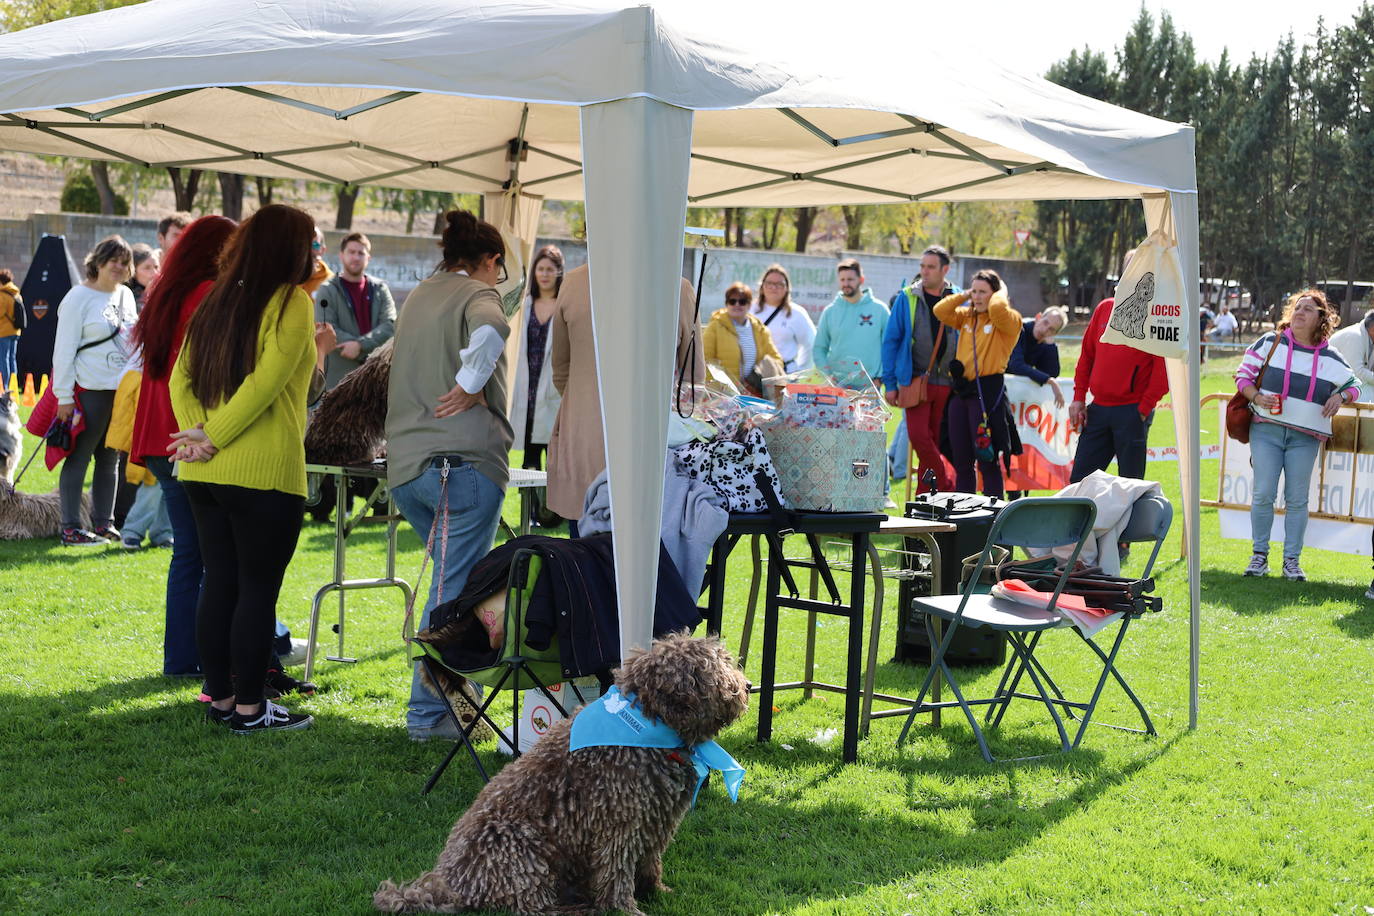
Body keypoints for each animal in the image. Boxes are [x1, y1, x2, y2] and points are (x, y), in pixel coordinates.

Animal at [370, 631, 747, 916]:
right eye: (717, 667)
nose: (745, 686)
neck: (649, 724)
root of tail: (454, 883)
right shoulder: (619, 822)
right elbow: (617, 870)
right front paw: (625, 908)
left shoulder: (656, 819)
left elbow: (650, 861)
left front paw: (657, 890)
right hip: (519, 845)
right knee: (530, 906)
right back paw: (575, 908)